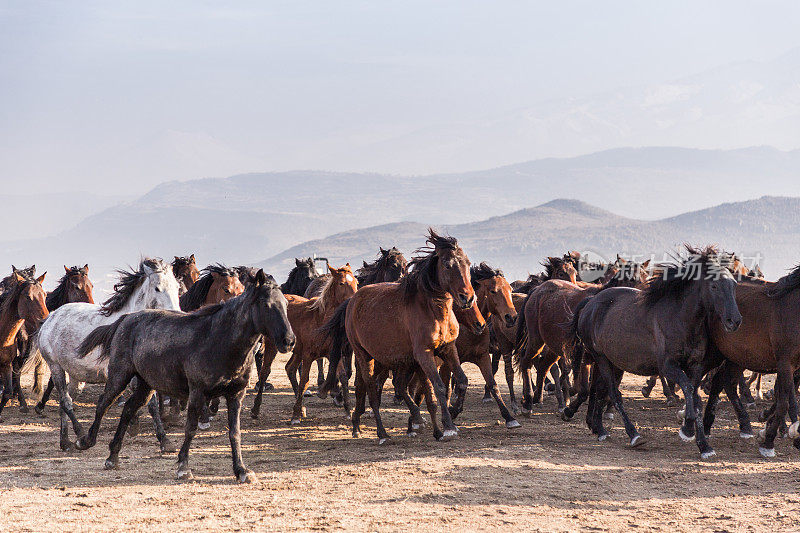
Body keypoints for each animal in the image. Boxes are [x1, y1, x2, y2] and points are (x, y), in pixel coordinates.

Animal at [28, 258, 181, 448]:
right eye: (158, 288)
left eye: (177, 287)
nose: (177, 314)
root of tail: (50, 317)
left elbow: (150, 405)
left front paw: (163, 440)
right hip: (56, 367)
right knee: (66, 401)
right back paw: (79, 434)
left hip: (76, 376)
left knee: (66, 401)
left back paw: (65, 442)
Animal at [74, 270, 294, 482]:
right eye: (266, 304)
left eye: (285, 304)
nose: (289, 341)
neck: (218, 339)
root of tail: (125, 319)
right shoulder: (197, 392)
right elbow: (191, 428)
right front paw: (183, 468)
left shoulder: (236, 394)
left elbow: (235, 432)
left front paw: (241, 470)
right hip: (120, 375)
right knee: (104, 403)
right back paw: (85, 441)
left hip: (146, 384)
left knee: (128, 409)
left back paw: (113, 457)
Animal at [250, 264, 356, 422]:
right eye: (342, 283)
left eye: (356, 281)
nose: (354, 299)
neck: (321, 319)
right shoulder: (308, 356)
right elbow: (304, 381)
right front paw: (295, 415)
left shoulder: (333, 354)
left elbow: (343, 376)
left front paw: (348, 409)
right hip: (272, 346)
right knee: (265, 372)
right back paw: (256, 409)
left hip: (297, 350)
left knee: (290, 368)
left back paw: (301, 408)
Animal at [318, 229, 476, 440]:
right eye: (447, 264)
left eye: (467, 262)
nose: (467, 298)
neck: (432, 310)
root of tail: (352, 300)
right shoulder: (424, 354)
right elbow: (439, 387)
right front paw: (449, 426)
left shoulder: (447, 349)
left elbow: (462, 381)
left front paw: (454, 411)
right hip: (364, 356)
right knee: (371, 389)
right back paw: (381, 433)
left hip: (395, 360)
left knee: (394, 385)